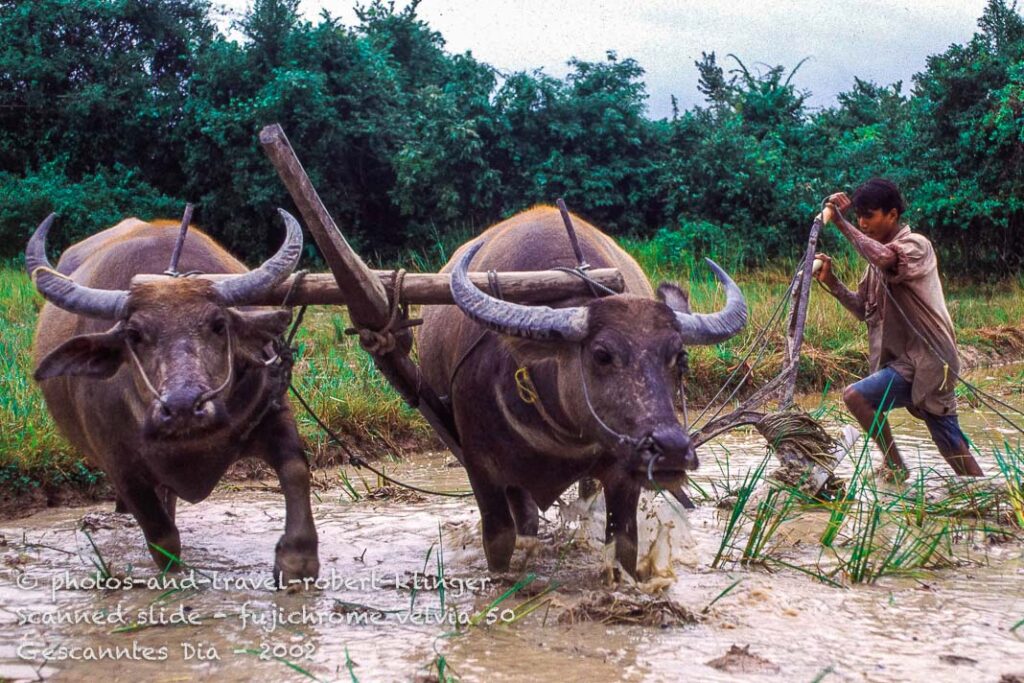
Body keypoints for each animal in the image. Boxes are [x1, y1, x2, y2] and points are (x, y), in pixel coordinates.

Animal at [28, 209, 315, 581]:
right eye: (134, 335)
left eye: (218, 324)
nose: (183, 407)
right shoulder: (120, 465)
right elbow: (162, 536)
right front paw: (174, 576)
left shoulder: (273, 410)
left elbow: (295, 469)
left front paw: (298, 560)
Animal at [415, 208, 745, 577]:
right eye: (601, 354)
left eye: (679, 356)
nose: (671, 450)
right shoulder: (480, 468)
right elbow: (499, 542)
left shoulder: (622, 472)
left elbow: (624, 545)